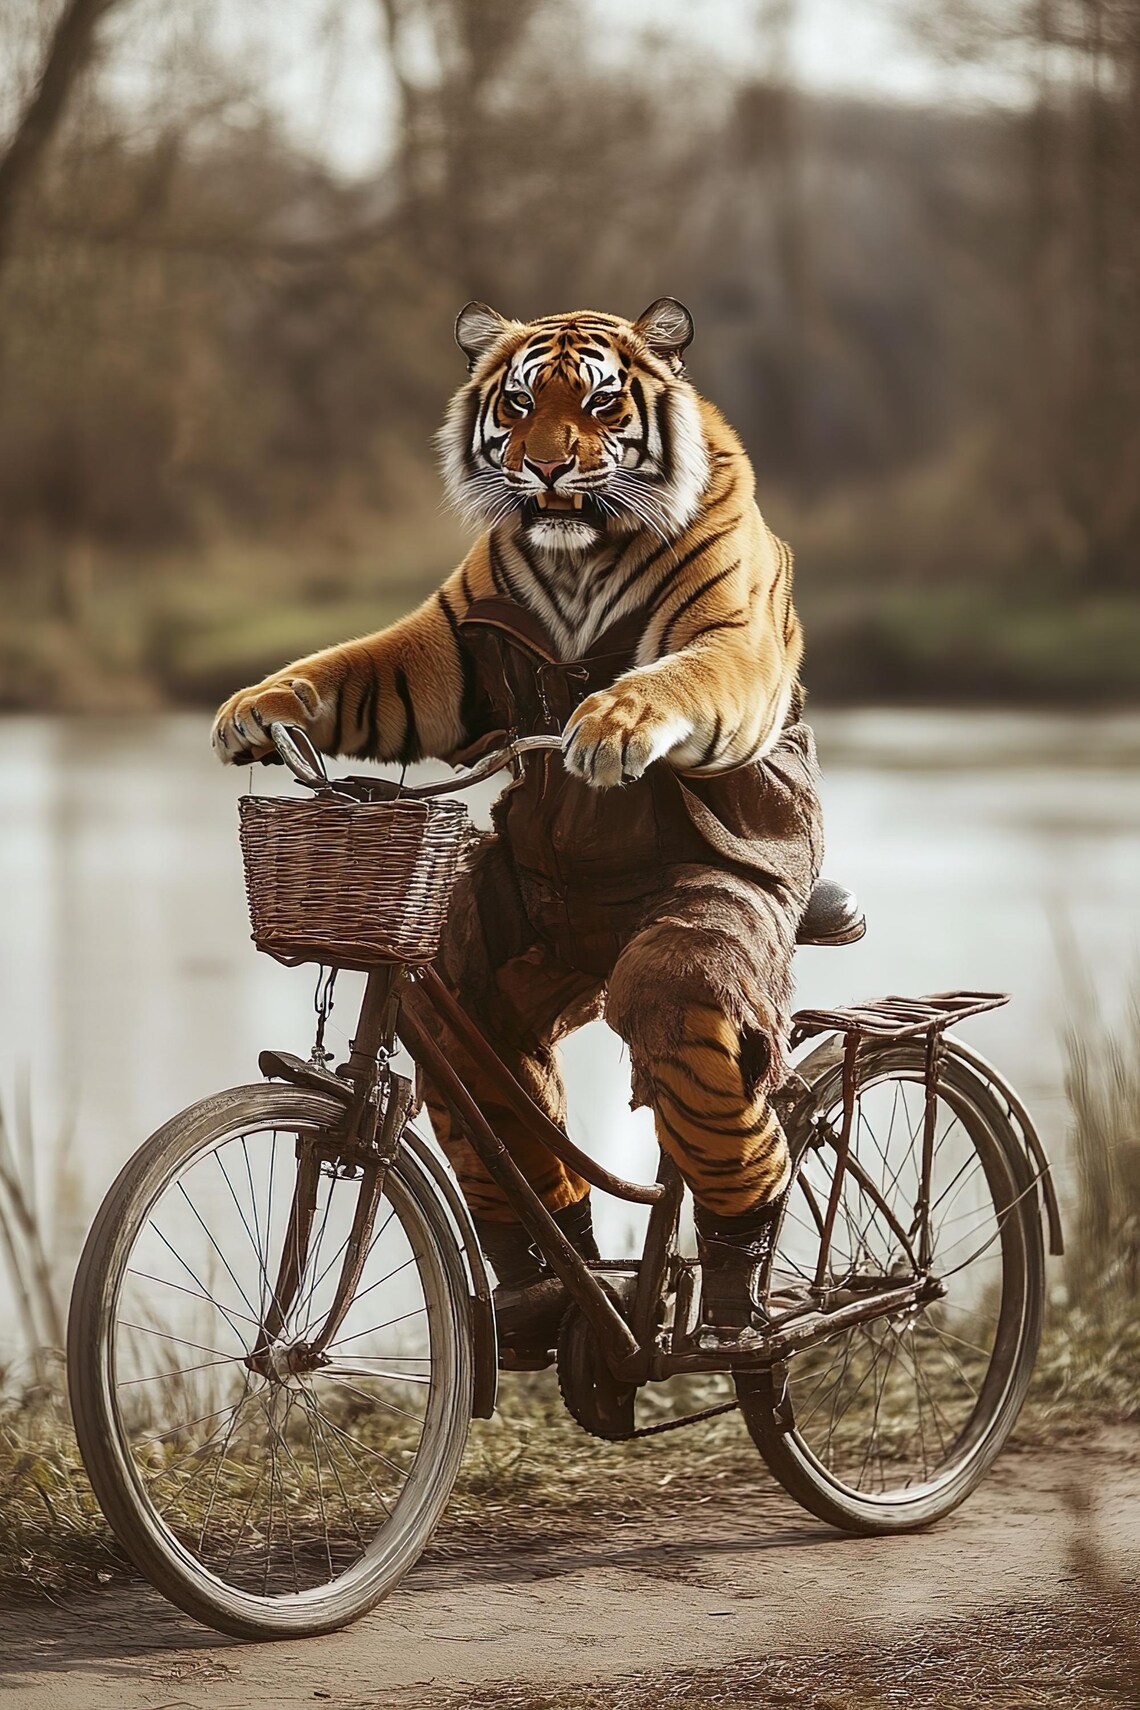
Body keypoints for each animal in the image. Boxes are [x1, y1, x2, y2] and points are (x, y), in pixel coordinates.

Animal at [213, 298, 822, 1353]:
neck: (580, 556)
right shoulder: (442, 652)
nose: (543, 469)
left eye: (602, 402)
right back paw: (546, 1284)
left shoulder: (729, 632)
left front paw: (615, 723)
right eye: (521, 402)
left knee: (712, 1060)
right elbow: (351, 668)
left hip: (715, 958)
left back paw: (741, 1300)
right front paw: (257, 708)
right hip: (500, 952)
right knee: (484, 1050)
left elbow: (682, 677)